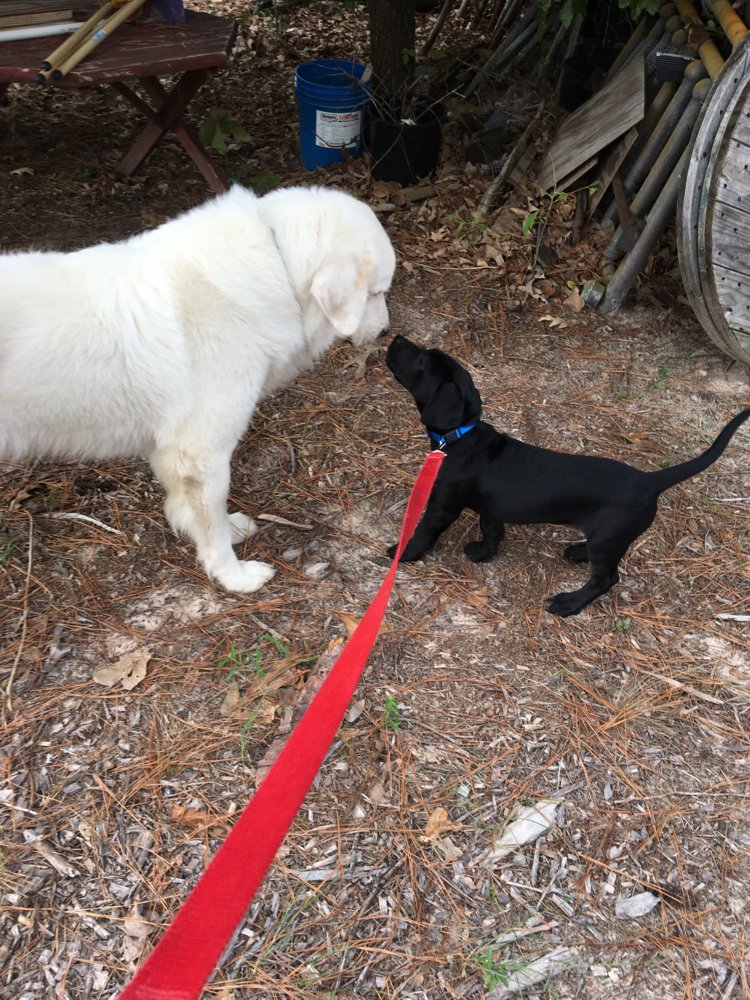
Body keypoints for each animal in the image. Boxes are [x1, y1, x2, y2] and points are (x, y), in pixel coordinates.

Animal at [0, 185, 396, 592]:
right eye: (377, 292)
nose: (385, 333)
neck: (277, 262)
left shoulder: (174, 453)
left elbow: (195, 512)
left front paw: (226, 528)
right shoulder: (201, 455)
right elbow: (213, 531)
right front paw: (233, 577)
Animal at [386, 335, 750, 617]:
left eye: (422, 361)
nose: (397, 338)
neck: (461, 434)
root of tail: (649, 481)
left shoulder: (442, 507)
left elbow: (422, 532)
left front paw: (402, 553)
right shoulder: (490, 508)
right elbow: (492, 530)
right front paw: (483, 553)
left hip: (607, 539)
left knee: (606, 579)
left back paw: (570, 604)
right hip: (607, 537)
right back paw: (577, 552)